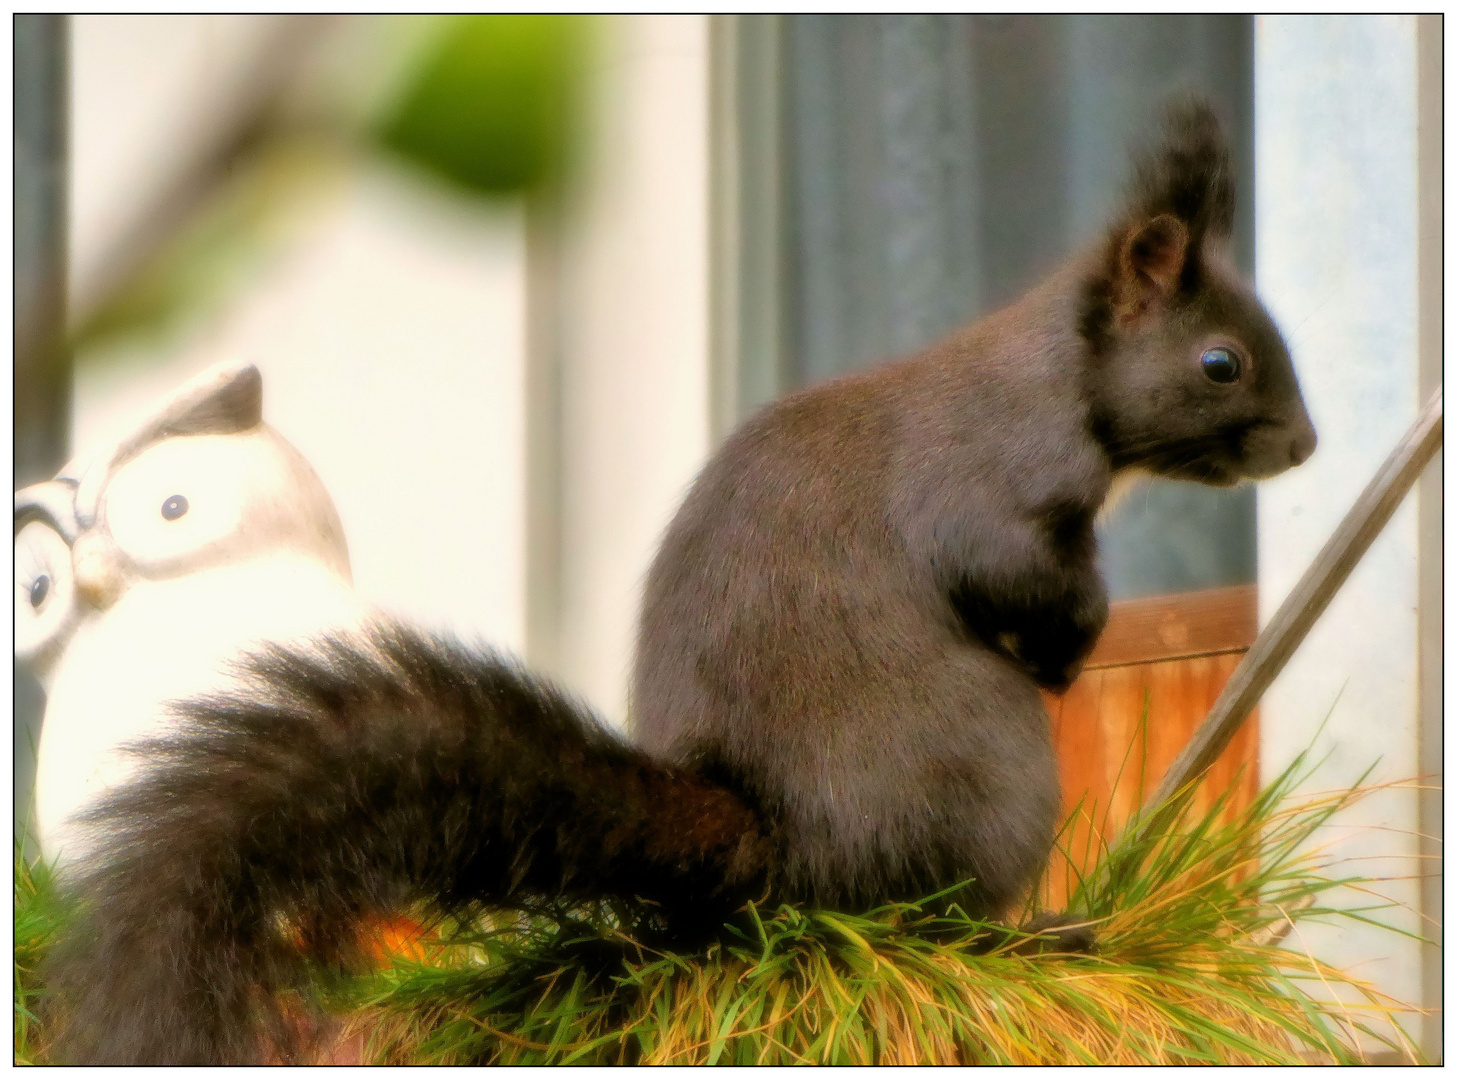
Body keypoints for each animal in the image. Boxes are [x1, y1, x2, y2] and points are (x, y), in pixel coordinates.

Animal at [48, 101, 1322, 1061]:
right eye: (1220, 362)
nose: (1302, 445)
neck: (1057, 379)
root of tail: (771, 853)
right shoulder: (994, 480)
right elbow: (1012, 574)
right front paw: (1070, 643)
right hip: (992, 773)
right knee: (921, 919)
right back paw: (1025, 936)